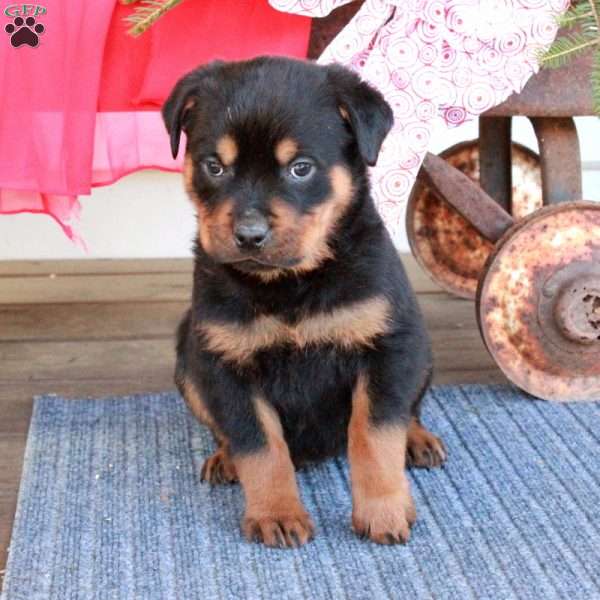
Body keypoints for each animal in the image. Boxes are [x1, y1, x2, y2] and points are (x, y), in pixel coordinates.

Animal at [164, 56, 446, 548]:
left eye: (300, 168)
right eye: (214, 166)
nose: (249, 235)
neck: (289, 284)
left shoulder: (385, 347)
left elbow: (374, 433)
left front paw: (383, 510)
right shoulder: (223, 362)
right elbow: (259, 444)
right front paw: (276, 513)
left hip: (419, 349)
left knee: (406, 411)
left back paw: (417, 440)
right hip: (187, 358)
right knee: (226, 433)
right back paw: (224, 459)